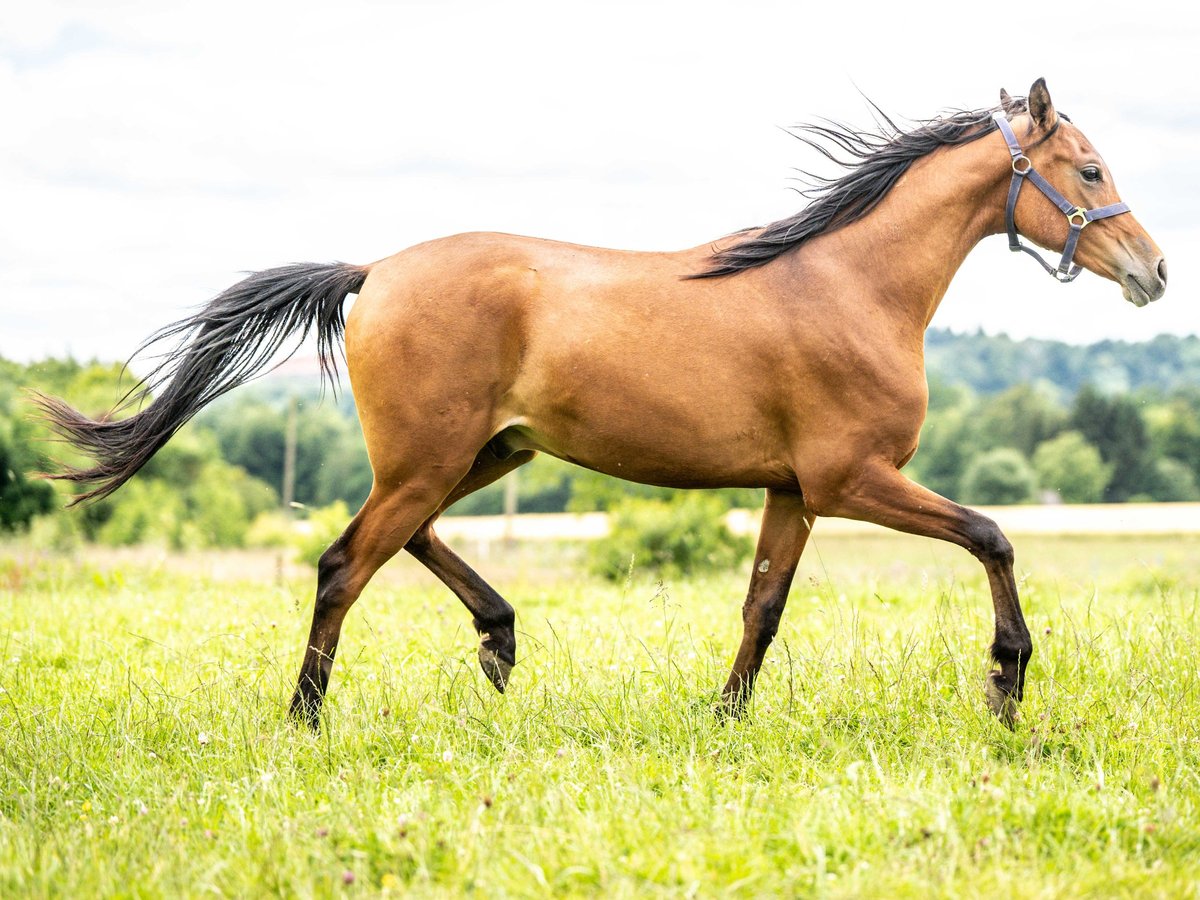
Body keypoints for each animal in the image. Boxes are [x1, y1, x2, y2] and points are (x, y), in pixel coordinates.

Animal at [37, 79, 1161, 734]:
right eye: (1089, 168)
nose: (1153, 270)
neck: (848, 282)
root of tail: (372, 273)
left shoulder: (794, 491)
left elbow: (762, 605)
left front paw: (725, 720)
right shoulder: (852, 479)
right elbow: (993, 535)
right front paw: (1008, 682)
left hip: (485, 456)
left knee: (403, 540)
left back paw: (499, 640)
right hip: (436, 458)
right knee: (345, 563)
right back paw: (308, 718)